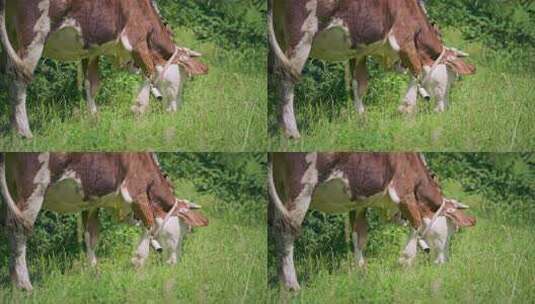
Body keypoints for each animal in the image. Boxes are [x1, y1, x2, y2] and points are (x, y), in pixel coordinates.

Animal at [0, 0, 208, 138]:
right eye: (184, 79)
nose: (177, 111)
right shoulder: (136, 38)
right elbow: (148, 74)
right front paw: (139, 110)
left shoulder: (92, 49)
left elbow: (91, 84)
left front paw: (93, 119)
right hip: (33, 33)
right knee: (18, 79)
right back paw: (25, 132)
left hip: (12, 35)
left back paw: (13, 129)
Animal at [0, 152, 209, 290]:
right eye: (184, 230)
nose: (175, 263)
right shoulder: (136, 190)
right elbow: (149, 226)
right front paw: (138, 263)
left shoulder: (92, 201)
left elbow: (91, 237)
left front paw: (94, 273)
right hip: (33, 187)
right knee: (19, 230)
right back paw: (25, 285)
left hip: (13, 186)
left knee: (10, 227)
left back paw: (14, 282)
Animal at [268, 0, 478, 138]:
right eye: (451, 80)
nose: (444, 110)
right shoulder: (404, 38)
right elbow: (416, 72)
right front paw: (406, 110)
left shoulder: (359, 50)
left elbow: (359, 85)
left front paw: (362, 121)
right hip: (301, 34)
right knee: (287, 79)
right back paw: (292, 132)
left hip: (280, 35)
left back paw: (279, 128)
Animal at [268, 152, 478, 290]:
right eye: (452, 230)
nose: (444, 263)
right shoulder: (403, 190)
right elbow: (417, 224)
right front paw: (405, 261)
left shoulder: (359, 202)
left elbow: (359, 237)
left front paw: (361, 272)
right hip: (301, 186)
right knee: (286, 231)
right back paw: (292, 286)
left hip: (280, 188)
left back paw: (281, 281)